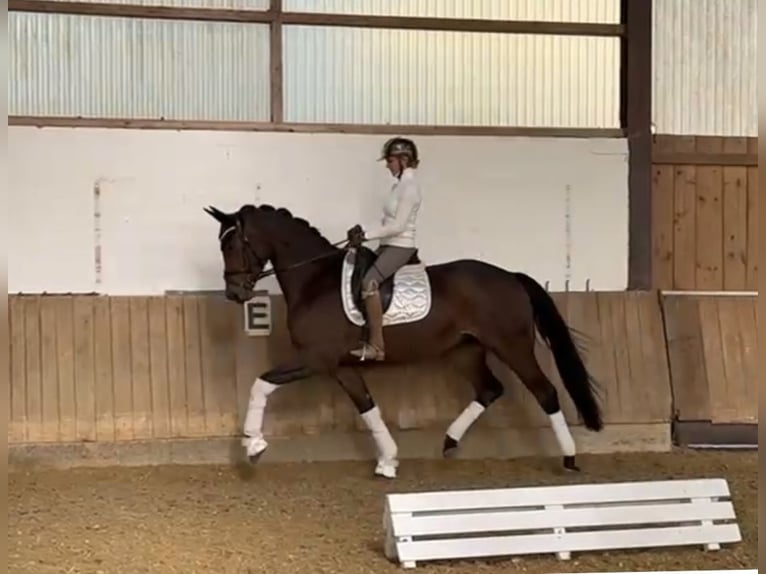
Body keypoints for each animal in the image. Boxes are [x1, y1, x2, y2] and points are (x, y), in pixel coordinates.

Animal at [204, 203, 603, 478]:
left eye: (233, 245)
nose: (235, 293)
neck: (315, 280)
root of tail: (511, 276)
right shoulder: (342, 366)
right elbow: (368, 407)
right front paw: (388, 460)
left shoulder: (315, 360)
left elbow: (261, 384)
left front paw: (253, 444)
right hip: (466, 351)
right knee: (490, 389)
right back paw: (449, 441)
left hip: (513, 346)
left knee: (545, 392)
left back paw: (569, 458)